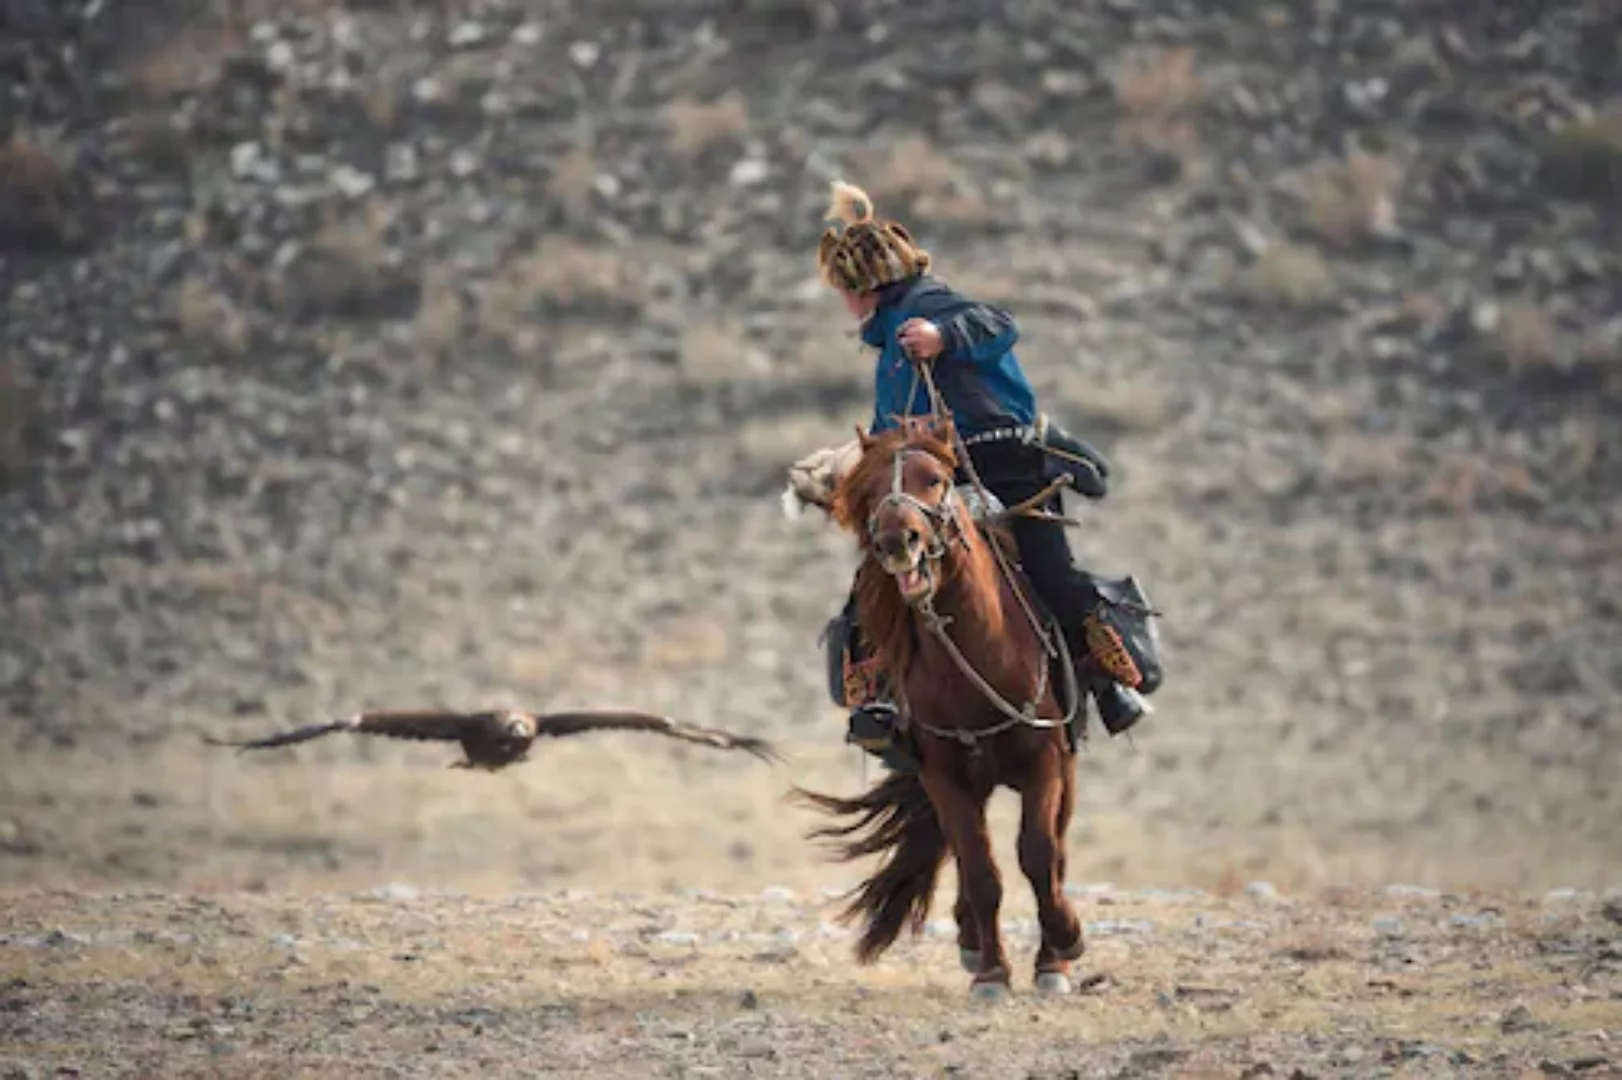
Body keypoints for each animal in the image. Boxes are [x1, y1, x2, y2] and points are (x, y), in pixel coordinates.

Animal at [788, 415, 1083, 998]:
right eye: (870, 489)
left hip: (1064, 767)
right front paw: (992, 973)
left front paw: (1061, 951)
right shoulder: (943, 775)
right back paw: (971, 940)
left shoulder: (1045, 760)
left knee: (1055, 849)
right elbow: (981, 868)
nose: (897, 541)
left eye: (935, 479)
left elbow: (1039, 855)